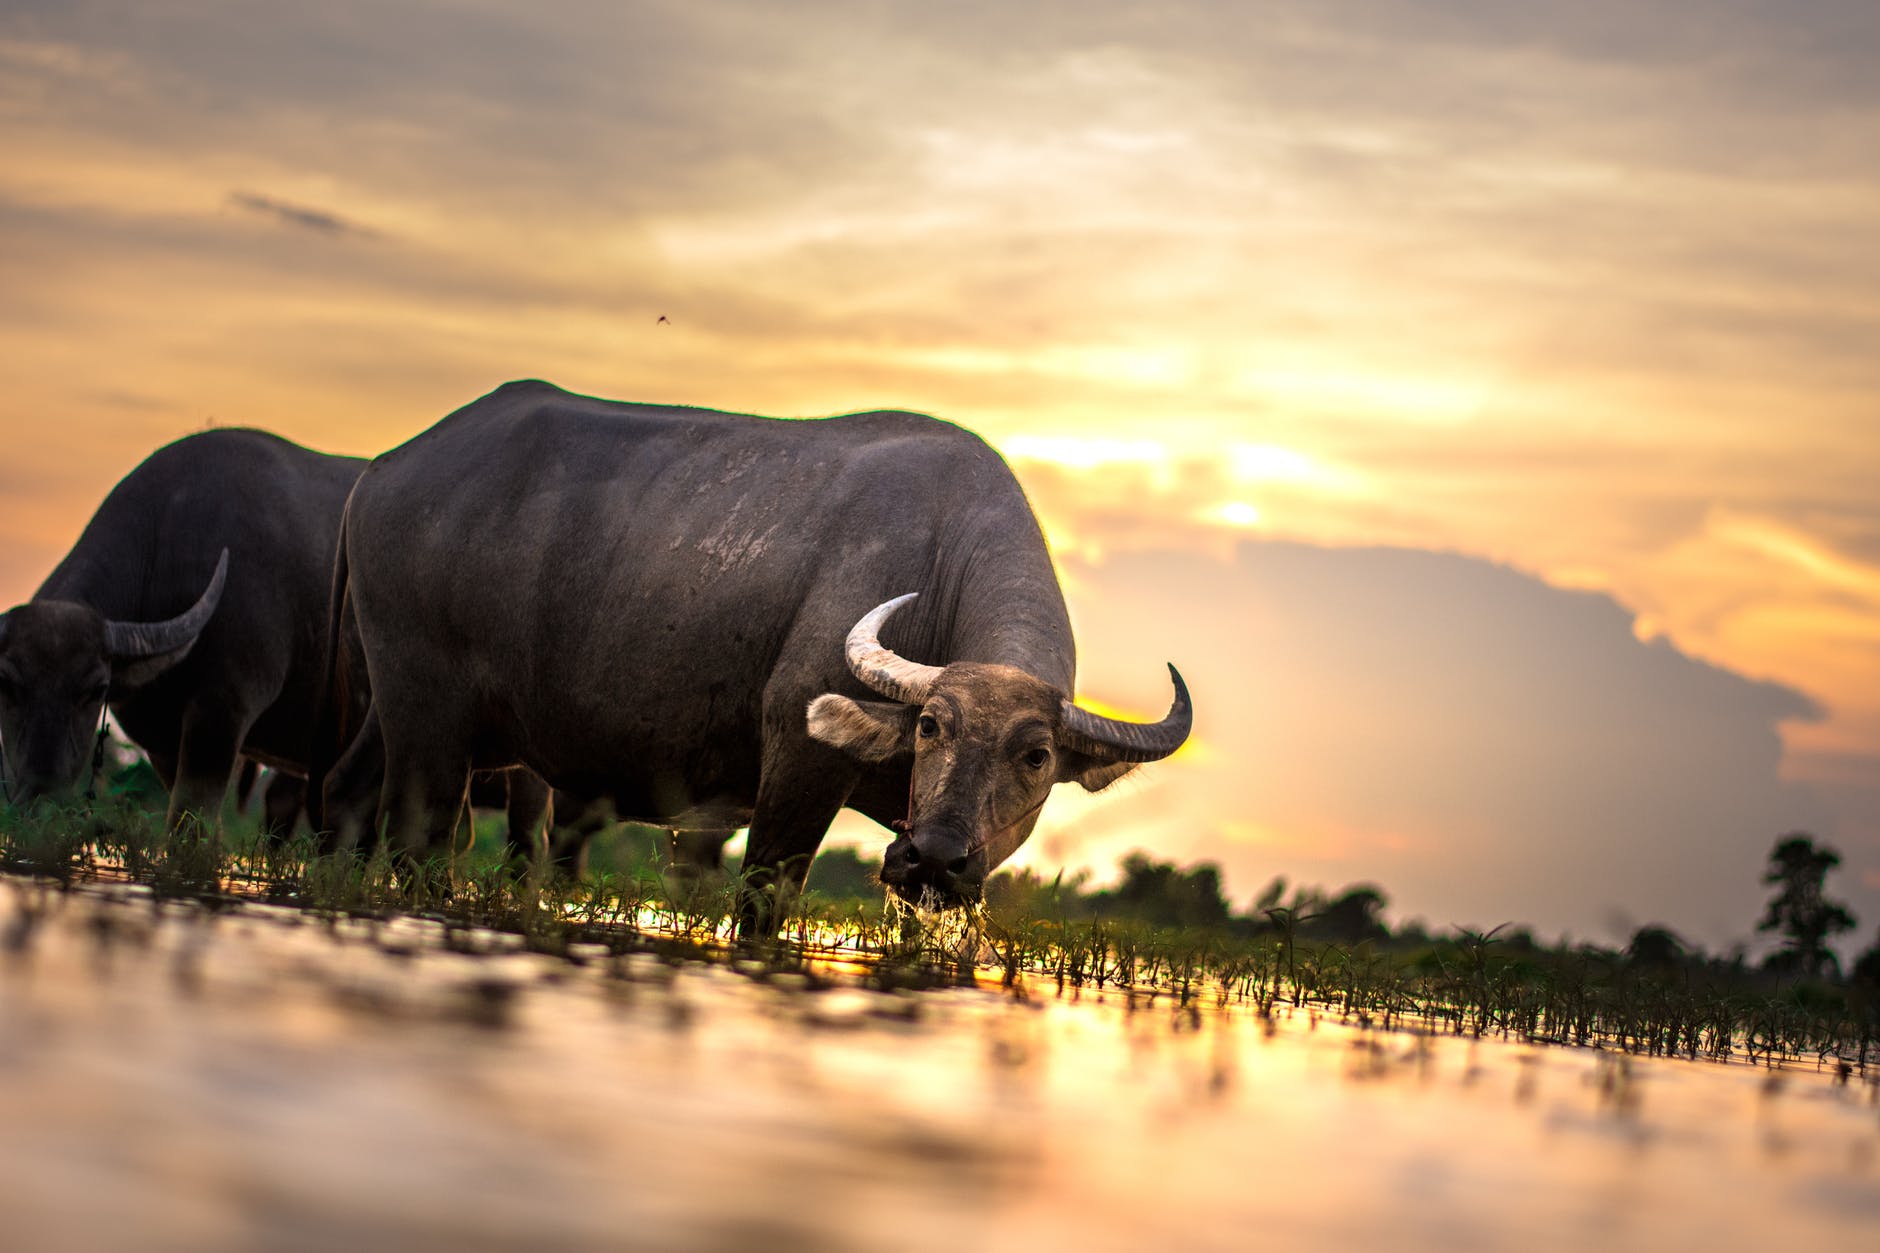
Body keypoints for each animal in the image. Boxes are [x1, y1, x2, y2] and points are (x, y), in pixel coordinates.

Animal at [0, 425, 364, 824]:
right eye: (6, 684)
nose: (39, 797)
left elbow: (190, 821)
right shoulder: (160, 741)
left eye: (96, 689)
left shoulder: (223, 711)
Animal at [313, 376, 1180, 921]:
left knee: (344, 793)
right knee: (423, 837)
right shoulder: (798, 758)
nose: (932, 856)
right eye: (932, 725)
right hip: (430, 724)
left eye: (1035, 755)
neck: (941, 559)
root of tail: (382, 470)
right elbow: (763, 901)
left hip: (396, 707)